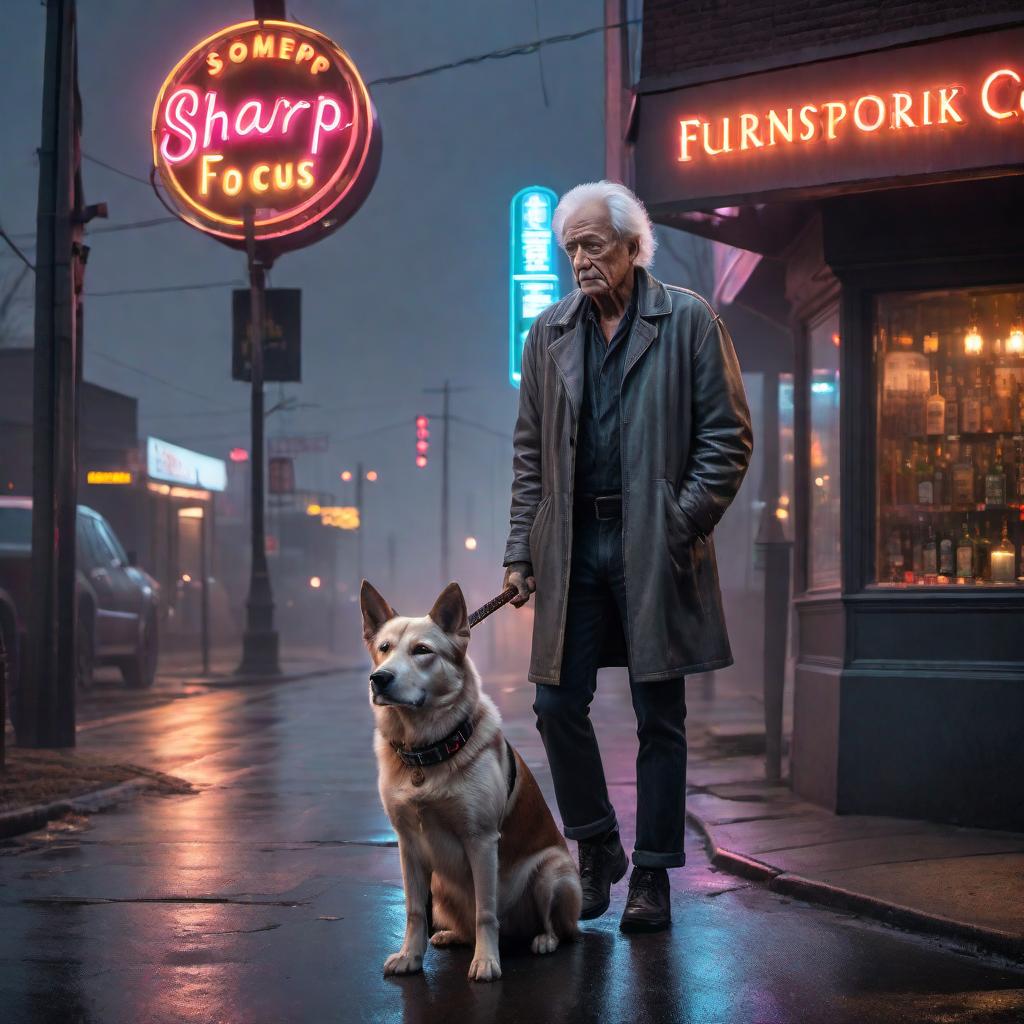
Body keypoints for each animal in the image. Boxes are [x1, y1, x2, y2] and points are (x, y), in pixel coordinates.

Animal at [362, 581, 585, 978]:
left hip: (552, 872)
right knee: (461, 923)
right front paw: (410, 955)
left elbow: (485, 911)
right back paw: (451, 935)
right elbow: (415, 910)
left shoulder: (480, 840)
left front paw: (486, 961)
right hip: (440, 885)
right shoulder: (408, 845)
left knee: (556, 927)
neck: (428, 751)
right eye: (384, 648)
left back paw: (543, 940)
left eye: (422, 651)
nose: (380, 678)